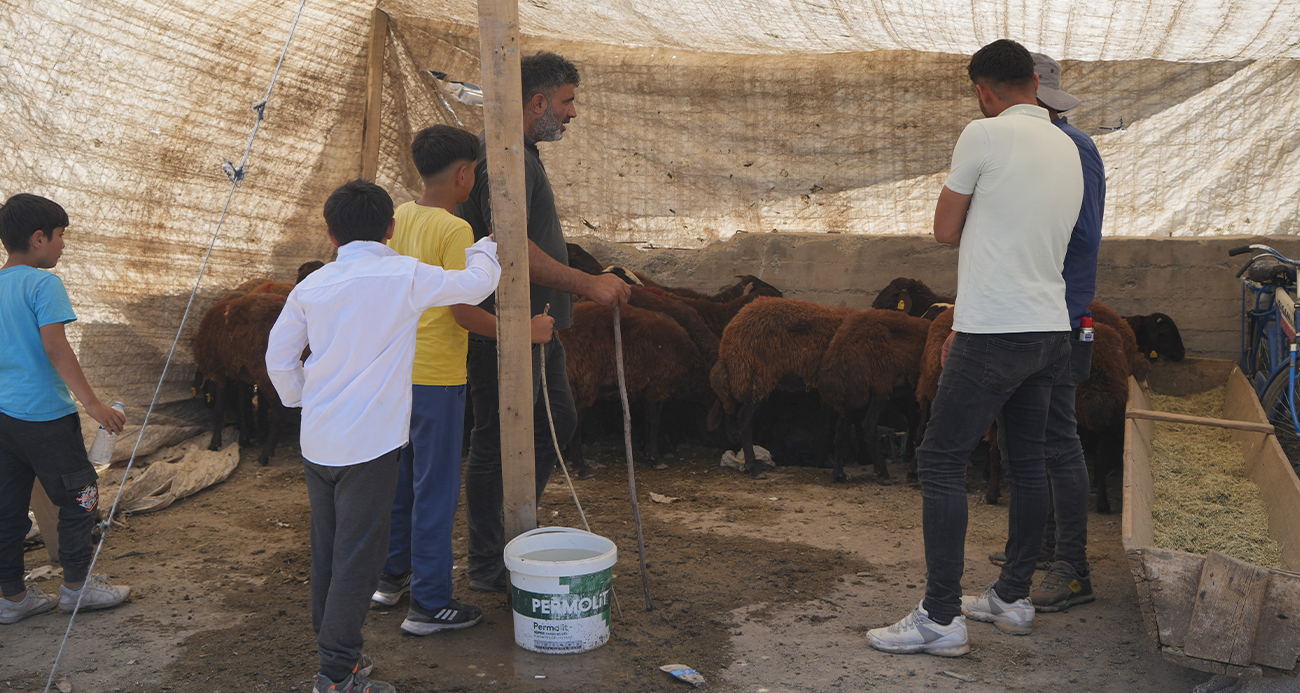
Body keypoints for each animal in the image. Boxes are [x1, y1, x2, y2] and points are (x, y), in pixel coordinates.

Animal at [712, 297, 863, 475]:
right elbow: (842, 426)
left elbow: (828, 426)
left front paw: (820, 461)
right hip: (759, 378)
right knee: (744, 419)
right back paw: (753, 466)